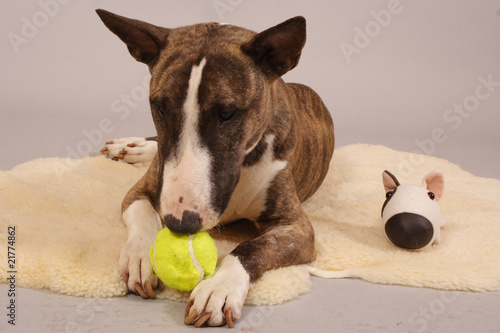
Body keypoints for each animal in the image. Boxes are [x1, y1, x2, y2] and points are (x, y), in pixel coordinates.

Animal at [96, 9, 334, 326]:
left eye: (227, 114)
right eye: (160, 107)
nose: (179, 223)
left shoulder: (297, 226)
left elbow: (251, 246)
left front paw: (219, 289)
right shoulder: (141, 190)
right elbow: (144, 213)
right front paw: (140, 257)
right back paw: (133, 147)